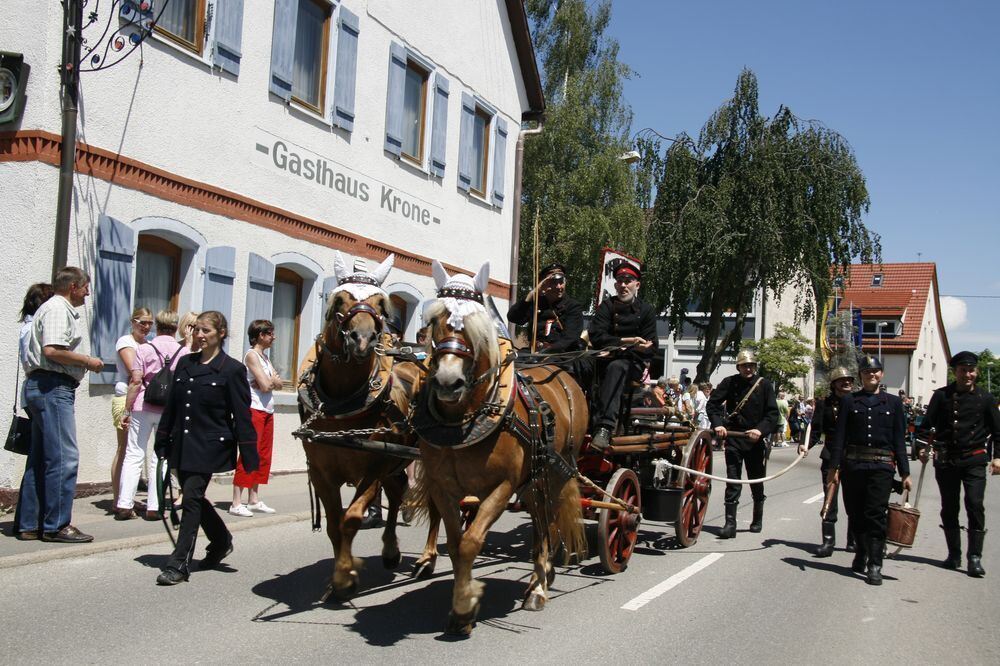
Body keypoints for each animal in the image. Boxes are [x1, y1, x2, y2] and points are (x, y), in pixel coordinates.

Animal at [294, 282, 440, 600]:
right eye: (339, 299)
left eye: (381, 305)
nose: (362, 339)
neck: (341, 405)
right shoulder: (322, 473)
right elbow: (334, 525)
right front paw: (339, 577)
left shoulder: (372, 468)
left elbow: (350, 519)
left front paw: (344, 578)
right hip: (396, 460)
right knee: (398, 493)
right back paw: (391, 551)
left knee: (436, 504)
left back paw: (427, 559)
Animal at [410, 260, 588, 632]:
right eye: (435, 320)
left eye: (477, 325)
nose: (448, 382)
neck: (463, 421)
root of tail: (564, 375)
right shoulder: (443, 487)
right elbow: (457, 544)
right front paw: (461, 607)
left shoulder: (502, 486)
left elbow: (471, 542)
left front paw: (465, 606)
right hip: (534, 479)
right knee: (540, 521)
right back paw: (540, 576)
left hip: (556, 471)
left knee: (547, 522)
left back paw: (539, 585)